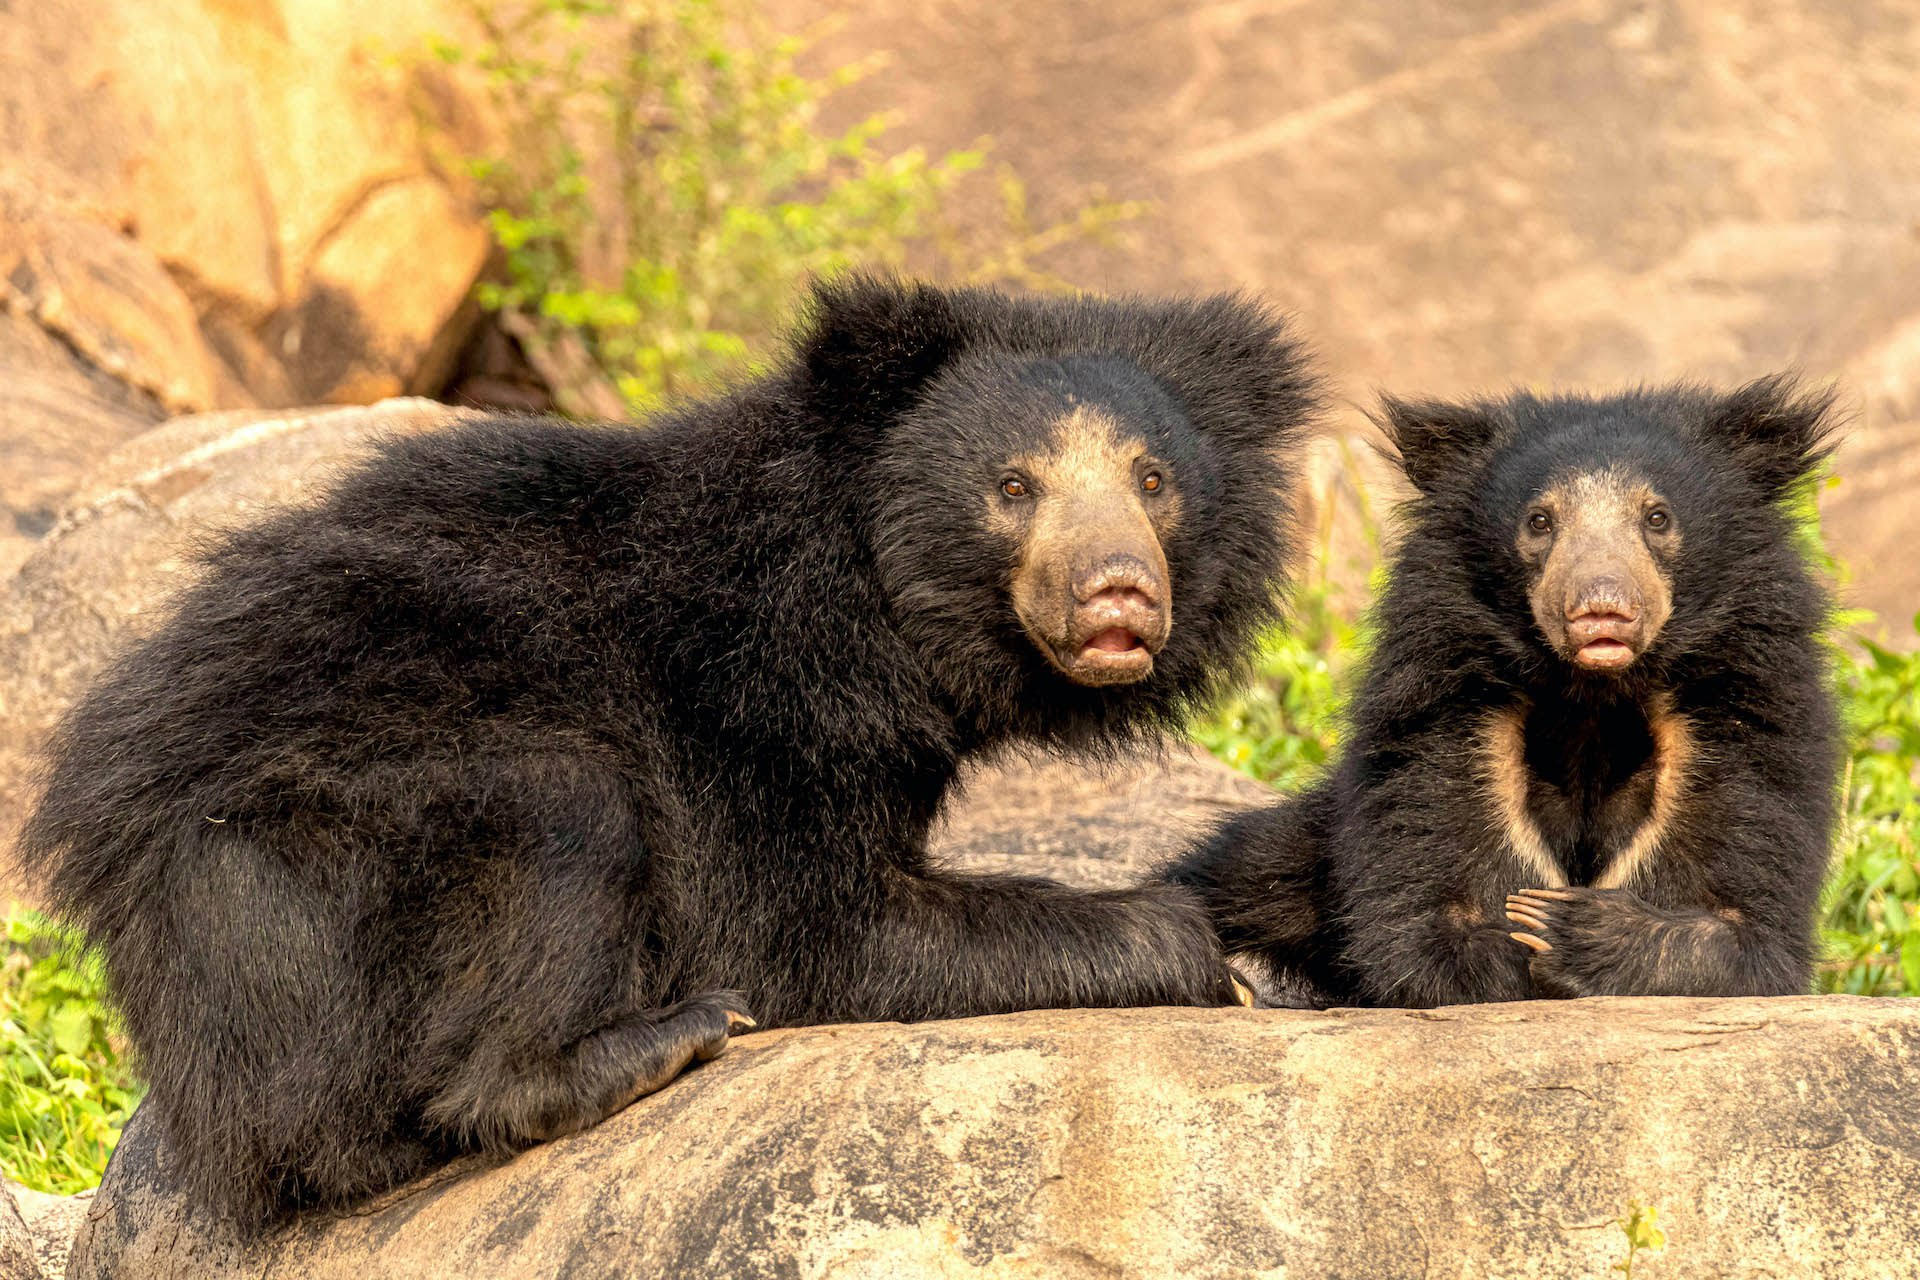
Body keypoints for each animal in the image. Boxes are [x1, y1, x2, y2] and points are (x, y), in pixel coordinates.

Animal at [18, 278, 1320, 1228]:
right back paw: (662, 1035)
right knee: (563, 818)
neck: (869, 594)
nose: (1118, 593)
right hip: (327, 853)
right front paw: (1199, 951)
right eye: (1013, 486)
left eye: (1153, 479)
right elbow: (808, 929)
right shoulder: (759, 696)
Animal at [1167, 379, 1843, 1013]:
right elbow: (1422, 923)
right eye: (1539, 521)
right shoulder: (1448, 715)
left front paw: (1571, 927)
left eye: (1657, 517)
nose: (1601, 607)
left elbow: (1744, 923)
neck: (1593, 694)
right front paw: (1527, 928)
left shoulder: (1738, 716)